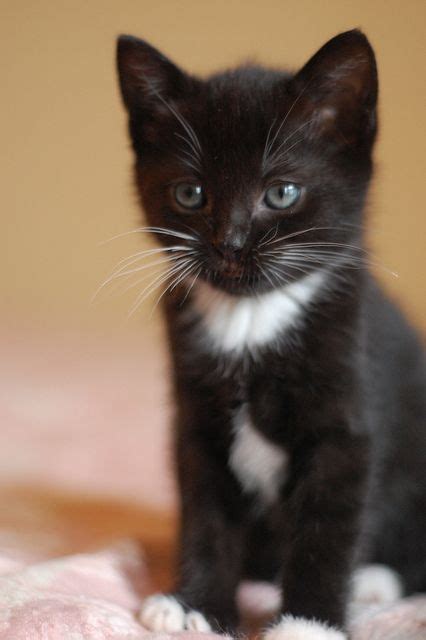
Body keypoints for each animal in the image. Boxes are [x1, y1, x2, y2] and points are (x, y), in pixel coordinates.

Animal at [115, 31, 426, 640]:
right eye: (191, 194)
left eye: (281, 193)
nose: (230, 244)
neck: (251, 321)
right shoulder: (197, 421)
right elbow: (206, 514)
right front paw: (197, 605)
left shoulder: (345, 425)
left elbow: (327, 529)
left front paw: (307, 623)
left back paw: (376, 579)